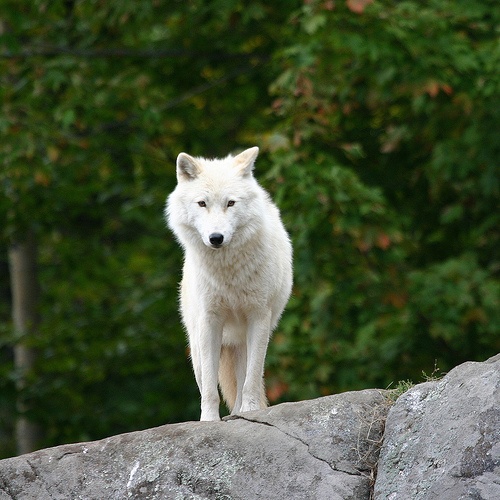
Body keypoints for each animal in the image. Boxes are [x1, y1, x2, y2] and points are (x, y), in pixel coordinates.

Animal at [168, 146, 292, 420]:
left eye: (230, 203)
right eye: (202, 203)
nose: (216, 238)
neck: (228, 273)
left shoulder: (258, 317)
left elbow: (251, 379)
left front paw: (250, 411)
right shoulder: (209, 322)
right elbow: (209, 388)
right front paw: (209, 421)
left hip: (244, 339)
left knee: (244, 378)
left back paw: (238, 413)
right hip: (196, 344)